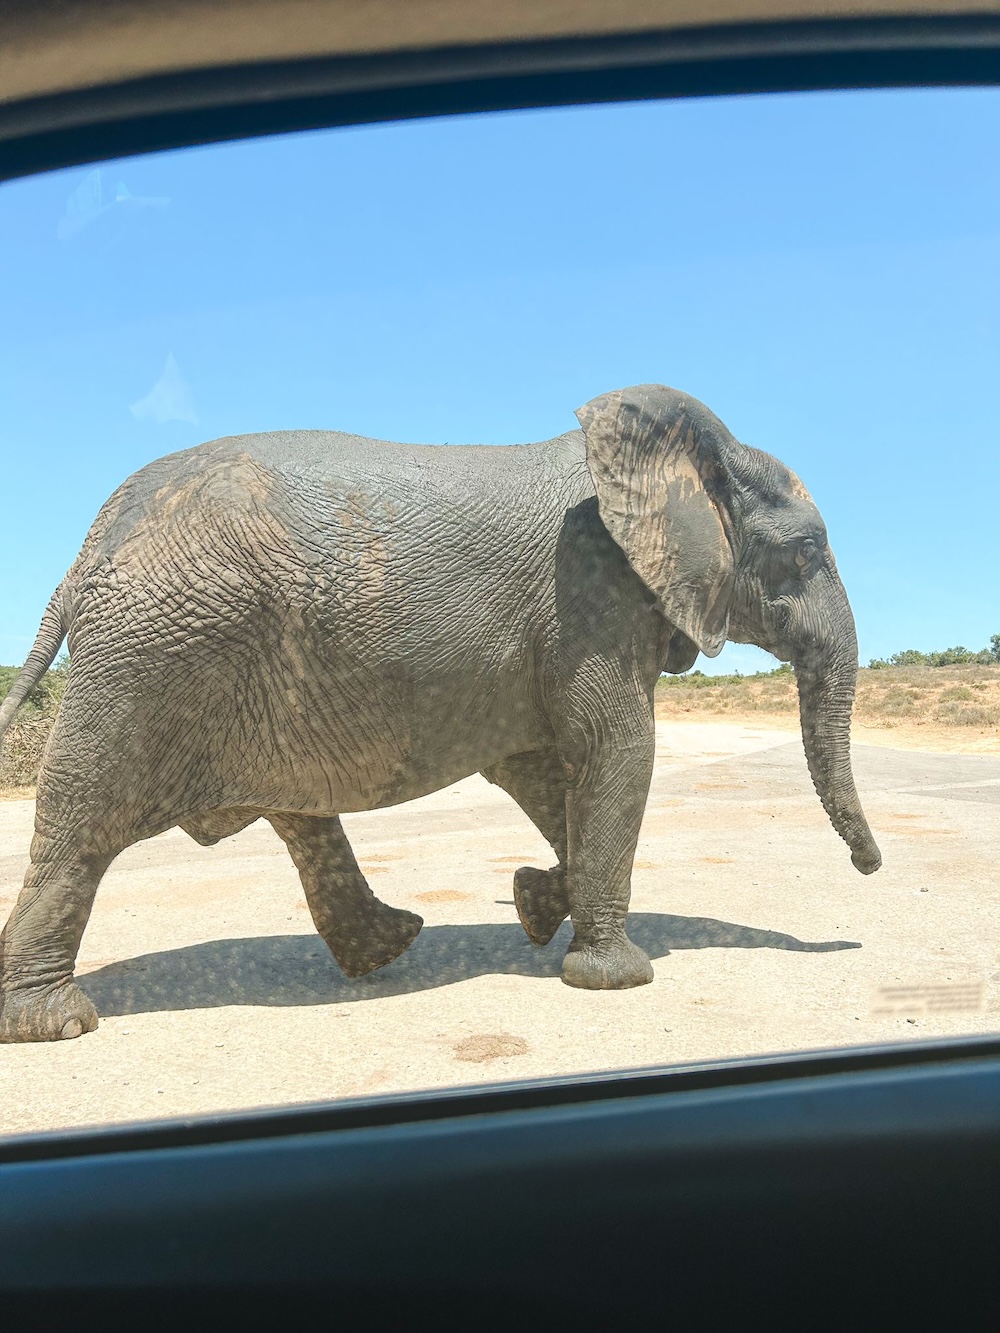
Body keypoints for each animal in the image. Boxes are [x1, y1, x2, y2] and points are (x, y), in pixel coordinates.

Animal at [0, 381, 885, 1034]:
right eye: (807, 551)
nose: (869, 869)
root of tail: (79, 560)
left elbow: (541, 768)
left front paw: (537, 905)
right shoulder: (590, 593)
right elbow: (617, 748)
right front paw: (616, 977)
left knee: (296, 813)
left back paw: (390, 945)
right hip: (151, 659)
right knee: (83, 827)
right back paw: (55, 1021)